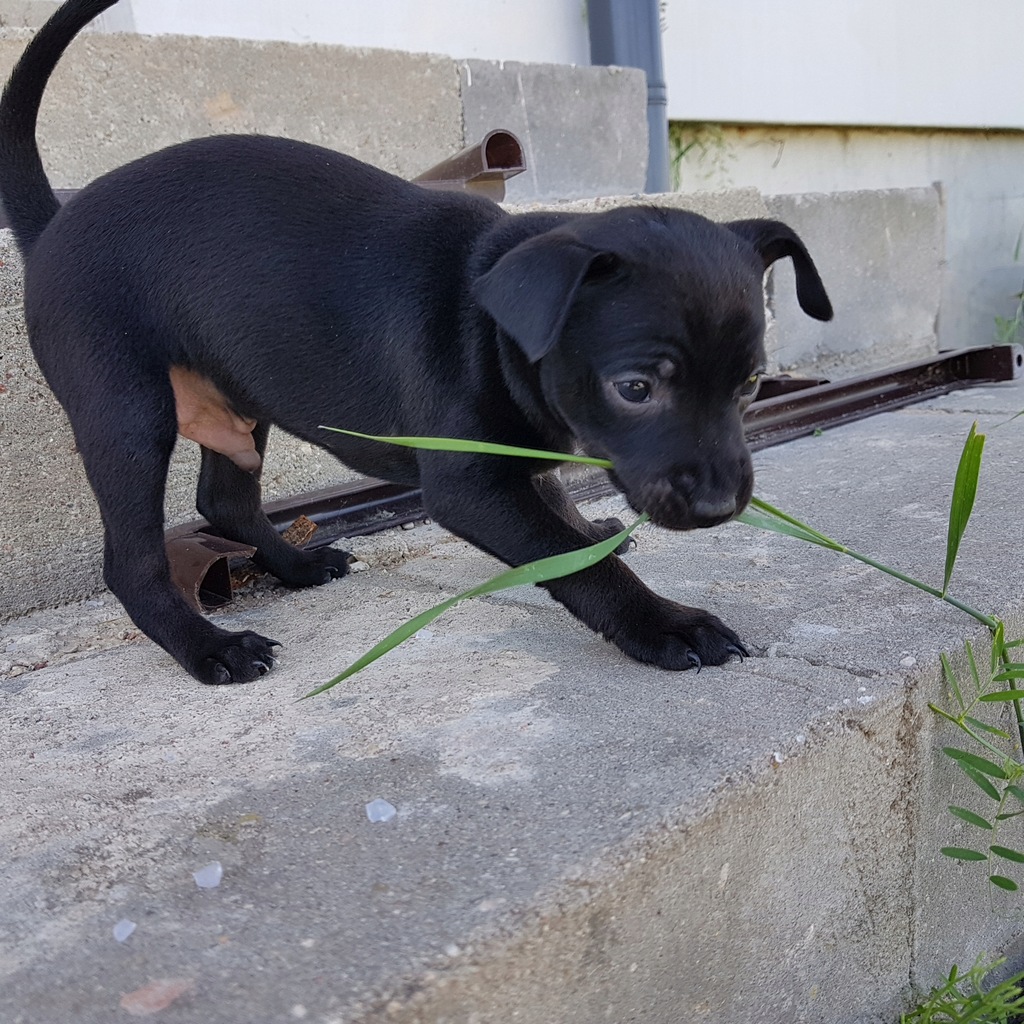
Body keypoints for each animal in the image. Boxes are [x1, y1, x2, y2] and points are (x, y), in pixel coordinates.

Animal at [0, 4, 831, 688]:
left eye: (752, 385)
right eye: (636, 389)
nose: (722, 506)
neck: (493, 324)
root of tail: (52, 225)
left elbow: (557, 500)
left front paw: (587, 528)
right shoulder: (470, 485)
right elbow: (571, 566)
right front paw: (662, 624)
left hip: (238, 388)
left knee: (224, 500)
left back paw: (295, 564)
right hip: (126, 410)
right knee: (131, 559)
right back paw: (208, 646)